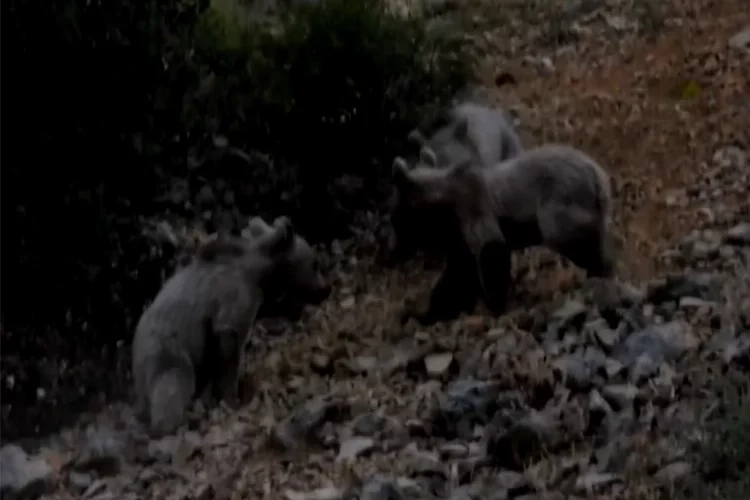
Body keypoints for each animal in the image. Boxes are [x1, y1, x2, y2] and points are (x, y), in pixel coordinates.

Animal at [131, 217, 328, 436]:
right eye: (315, 263)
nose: (325, 289)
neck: (260, 272)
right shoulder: (235, 298)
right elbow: (230, 348)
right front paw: (232, 399)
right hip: (165, 349)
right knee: (174, 382)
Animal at [390, 145, 612, 324]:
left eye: (396, 220)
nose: (394, 251)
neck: (446, 211)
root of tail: (598, 175)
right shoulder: (460, 241)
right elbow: (458, 276)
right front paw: (426, 313)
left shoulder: (474, 210)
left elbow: (491, 254)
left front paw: (495, 306)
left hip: (560, 201)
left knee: (572, 239)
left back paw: (597, 271)